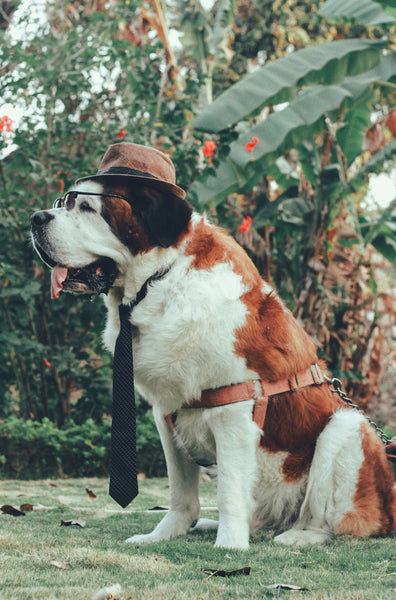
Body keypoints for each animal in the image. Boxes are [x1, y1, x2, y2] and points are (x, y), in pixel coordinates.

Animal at [31, 141, 396, 548]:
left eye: (87, 208)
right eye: (65, 202)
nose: (36, 218)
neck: (161, 279)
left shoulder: (233, 409)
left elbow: (229, 491)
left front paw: (230, 545)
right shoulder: (166, 413)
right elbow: (180, 492)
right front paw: (165, 534)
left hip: (346, 429)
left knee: (331, 519)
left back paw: (298, 537)